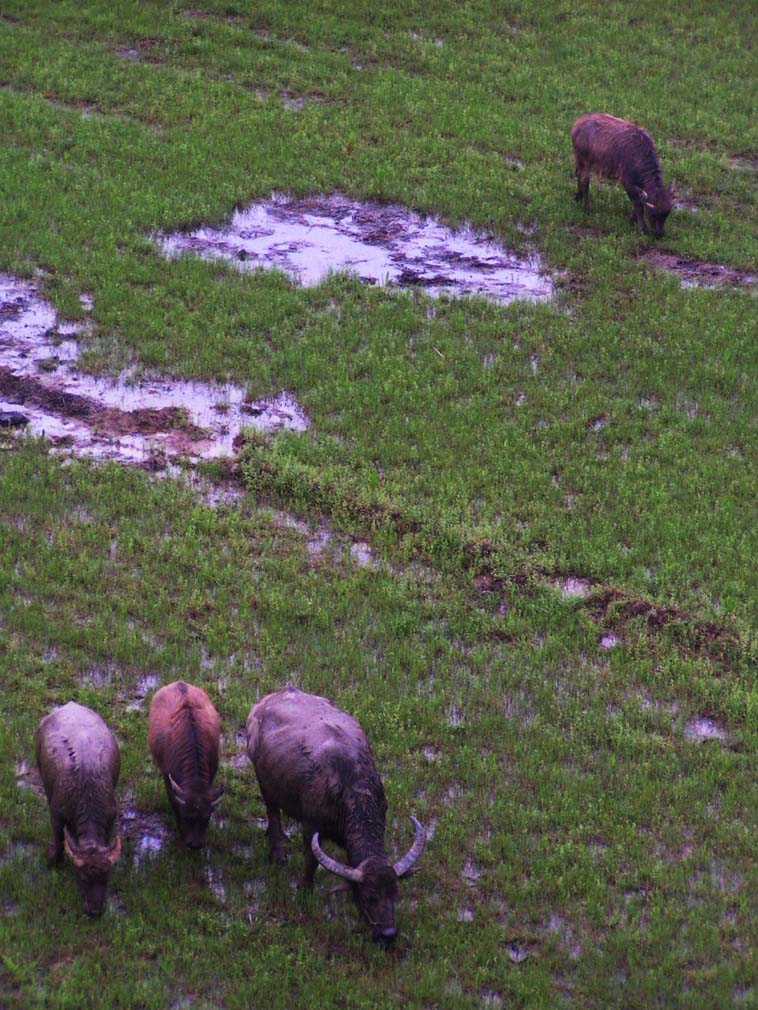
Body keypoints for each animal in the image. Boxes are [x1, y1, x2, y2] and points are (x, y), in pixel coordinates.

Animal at [35, 702, 121, 917]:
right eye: (83, 877)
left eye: (106, 877)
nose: (95, 911)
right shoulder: (56, 816)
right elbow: (58, 839)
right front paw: (54, 861)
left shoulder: (110, 817)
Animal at [247, 686, 428, 945]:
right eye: (369, 896)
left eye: (395, 893)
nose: (388, 934)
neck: (352, 791)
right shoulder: (311, 825)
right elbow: (311, 860)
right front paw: (305, 888)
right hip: (264, 783)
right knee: (272, 811)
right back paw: (278, 852)